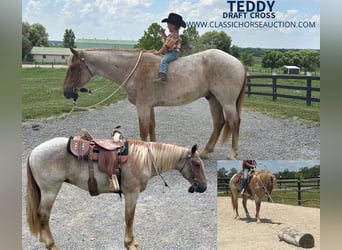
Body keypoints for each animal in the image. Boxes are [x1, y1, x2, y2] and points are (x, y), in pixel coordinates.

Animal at [25, 138, 207, 249]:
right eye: (197, 164)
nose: (203, 187)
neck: (144, 160)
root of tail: (33, 152)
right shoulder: (132, 194)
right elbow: (129, 218)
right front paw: (130, 243)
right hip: (50, 191)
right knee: (43, 215)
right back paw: (51, 245)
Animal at [62, 47, 247, 159]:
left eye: (73, 67)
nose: (66, 92)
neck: (133, 69)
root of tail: (238, 62)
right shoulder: (149, 107)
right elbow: (151, 128)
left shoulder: (143, 106)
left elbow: (144, 131)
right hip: (213, 99)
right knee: (219, 123)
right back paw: (205, 152)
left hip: (227, 102)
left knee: (233, 122)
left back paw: (233, 153)